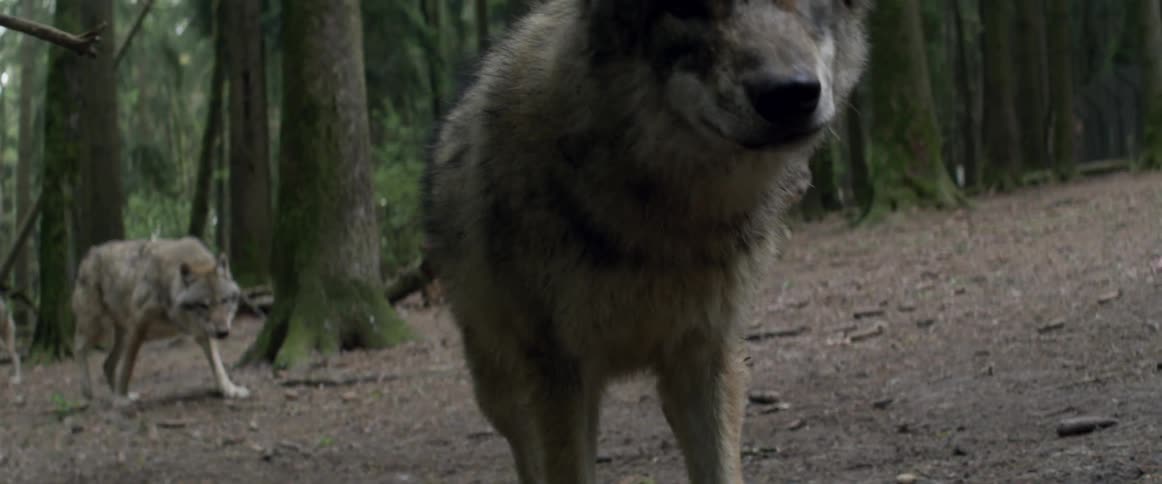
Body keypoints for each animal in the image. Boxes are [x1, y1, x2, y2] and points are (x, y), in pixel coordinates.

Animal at [72, 237, 250, 404]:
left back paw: (116, 394)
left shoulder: (202, 333)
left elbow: (218, 366)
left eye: (224, 301)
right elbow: (127, 367)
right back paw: (88, 394)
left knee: (107, 364)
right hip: (96, 326)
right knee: (79, 348)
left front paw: (230, 389)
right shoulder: (137, 326)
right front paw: (121, 399)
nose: (223, 333)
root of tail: (90, 252)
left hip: (121, 335)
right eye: (203, 305)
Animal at [423, 0, 870, 482]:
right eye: (688, 10)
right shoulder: (562, 376)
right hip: (502, 390)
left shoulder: (706, 356)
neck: (663, 226)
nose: (789, 94)